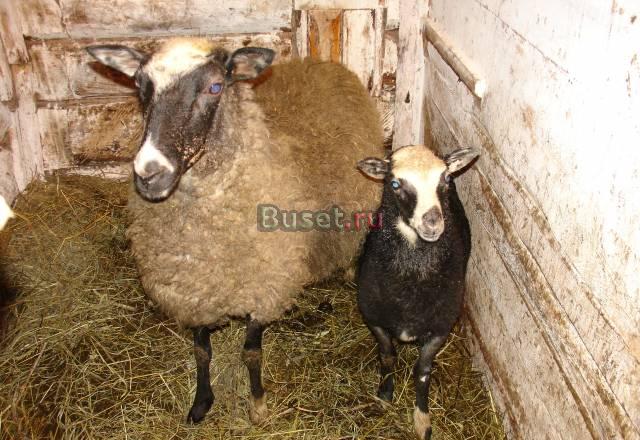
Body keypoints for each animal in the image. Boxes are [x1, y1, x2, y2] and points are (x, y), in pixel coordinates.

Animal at [86, 38, 383, 424]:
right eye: (140, 85)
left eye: (215, 87)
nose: (150, 173)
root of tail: (318, 62)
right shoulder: (194, 291)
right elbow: (201, 352)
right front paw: (201, 402)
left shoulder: (263, 288)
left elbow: (251, 353)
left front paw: (258, 405)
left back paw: (348, 269)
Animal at [355, 144, 479, 440]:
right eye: (395, 184)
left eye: (446, 178)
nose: (432, 223)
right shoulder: (374, 318)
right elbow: (388, 357)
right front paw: (385, 395)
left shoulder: (440, 327)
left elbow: (422, 372)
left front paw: (422, 419)